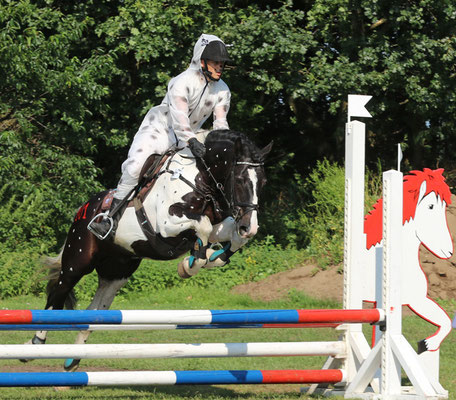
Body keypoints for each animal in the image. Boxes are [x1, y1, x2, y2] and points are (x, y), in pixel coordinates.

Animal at [24, 130, 270, 370]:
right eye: (240, 179)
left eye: (263, 182)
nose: (249, 225)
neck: (200, 180)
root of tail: (83, 209)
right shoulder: (168, 224)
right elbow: (203, 226)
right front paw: (193, 263)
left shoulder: (218, 226)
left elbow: (230, 236)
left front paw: (213, 257)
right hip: (77, 262)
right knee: (57, 296)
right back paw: (35, 344)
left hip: (117, 273)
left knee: (96, 310)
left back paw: (73, 358)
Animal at [360, 169, 452, 354]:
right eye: (431, 206)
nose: (449, 251)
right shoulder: (403, 302)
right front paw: (428, 344)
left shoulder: (415, 300)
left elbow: (444, 320)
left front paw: (427, 344)